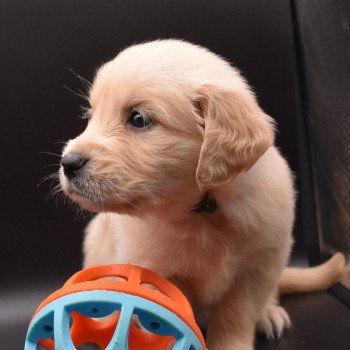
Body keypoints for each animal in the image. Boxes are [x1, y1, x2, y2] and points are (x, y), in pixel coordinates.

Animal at [60, 39, 344, 348]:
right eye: (91, 116)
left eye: (139, 119)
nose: (68, 163)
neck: (202, 210)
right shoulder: (151, 267)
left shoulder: (260, 265)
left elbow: (237, 315)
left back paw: (269, 314)